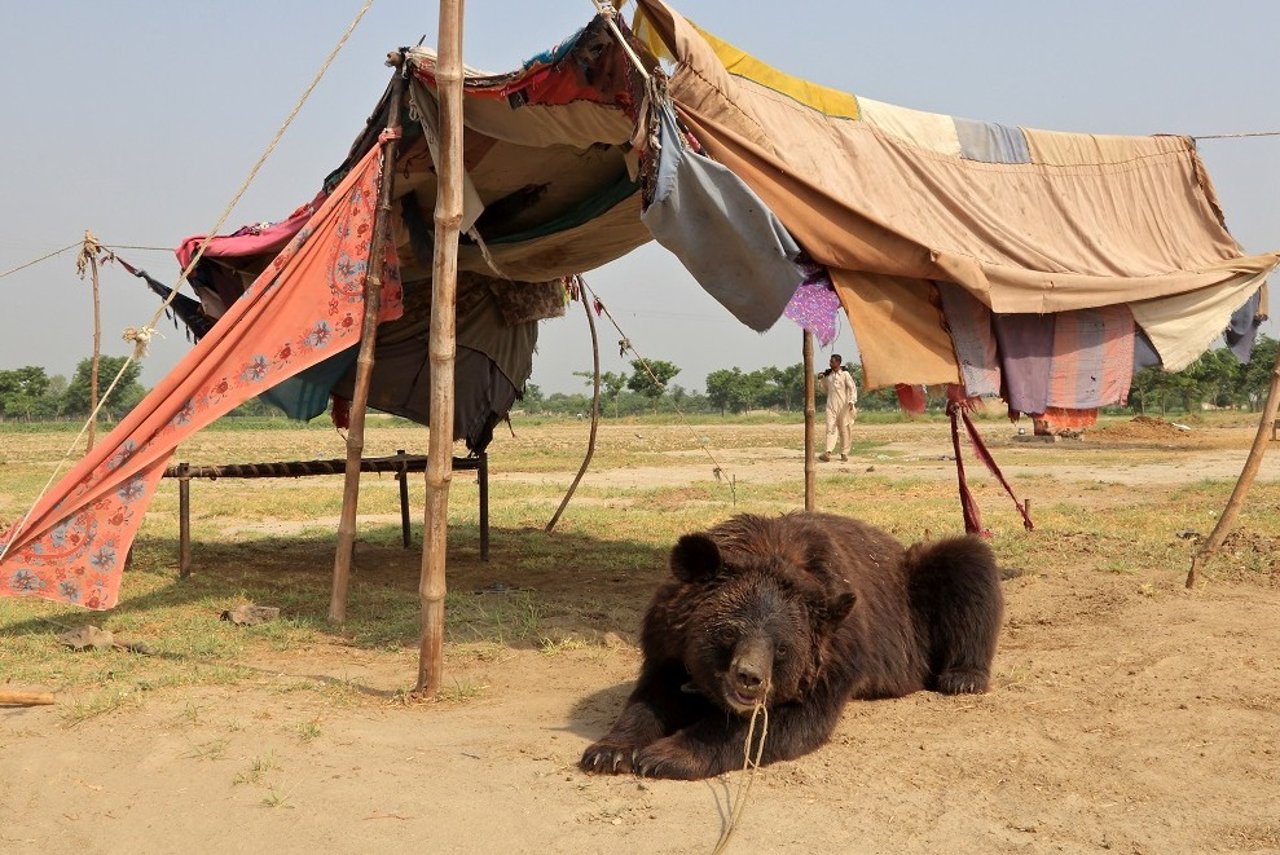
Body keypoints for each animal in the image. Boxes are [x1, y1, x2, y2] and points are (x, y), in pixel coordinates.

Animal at [578, 511, 998, 778]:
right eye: (728, 631)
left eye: (782, 648)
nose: (750, 679)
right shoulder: (668, 640)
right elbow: (652, 696)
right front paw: (609, 752)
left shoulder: (834, 655)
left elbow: (781, 723)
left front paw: (665, 755)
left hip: (914, 600)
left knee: (967, 562)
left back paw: (962, 676)